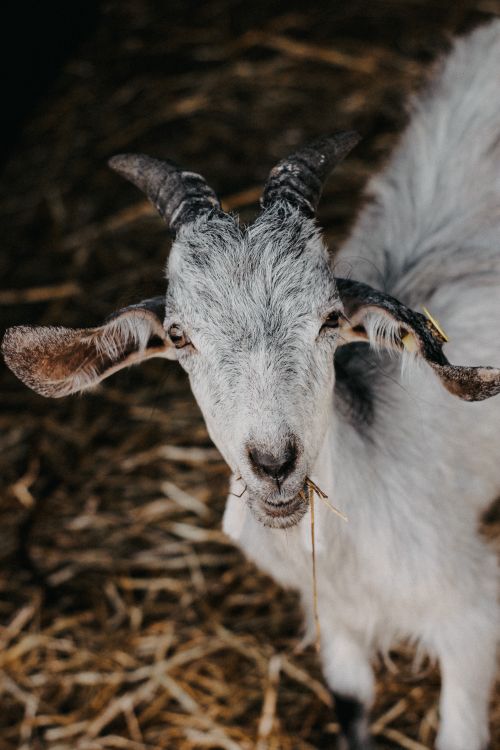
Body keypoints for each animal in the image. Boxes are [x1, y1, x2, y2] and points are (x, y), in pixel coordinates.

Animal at [3, 20, 500, 750]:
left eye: (329, 319)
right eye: (180, 336)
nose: (274, 463)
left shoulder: (470, 621)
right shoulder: (336, 627)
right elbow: (352, 707)